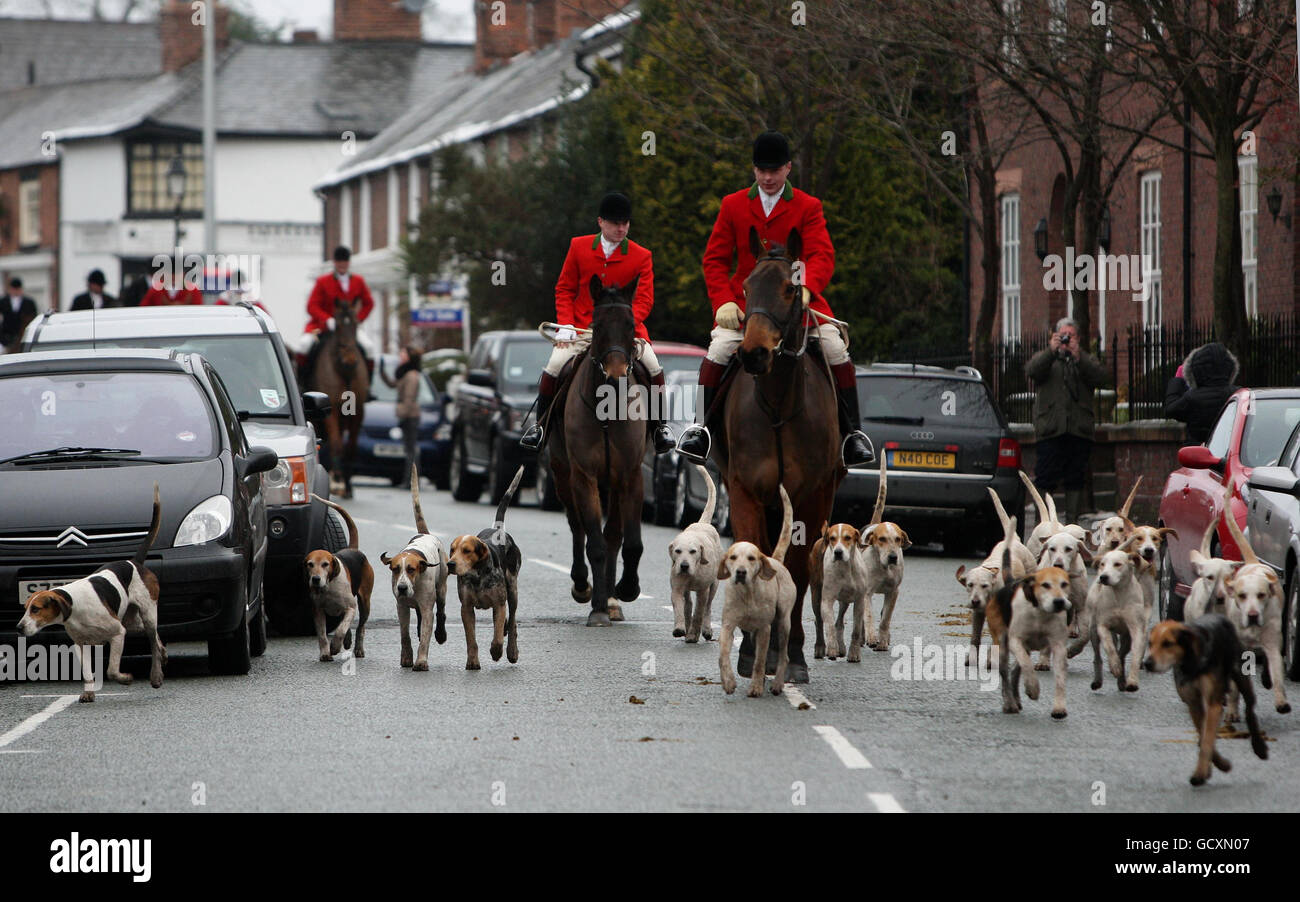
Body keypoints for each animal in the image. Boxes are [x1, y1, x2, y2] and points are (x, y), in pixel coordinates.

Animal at [305, 298, 366, 499]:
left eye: (356, 323)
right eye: (338, 324)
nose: (350, 360)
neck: (343, 370)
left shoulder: (358, 412)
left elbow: (351, 448)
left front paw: (347, 484)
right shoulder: (331, 411)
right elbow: (338, 445)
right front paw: (338, 478)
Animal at [548, 279, 650, 626]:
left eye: (631, 324)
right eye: (598, 325)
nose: (617, 375)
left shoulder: (630, 476)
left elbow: (630, 542)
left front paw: (627, 589)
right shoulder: (584, 476)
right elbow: (593, 541)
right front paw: (597, 606)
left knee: (614, 535)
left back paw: (613, 599)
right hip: (563, 477)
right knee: (577, 527)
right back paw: (585, 587)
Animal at [712, 226, 842, 686]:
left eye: (790, 288)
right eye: (745, 288)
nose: (753, 354)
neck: (779, 403)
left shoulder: (813, 496)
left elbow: (799, 570)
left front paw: (795, 655)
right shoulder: (745, 491)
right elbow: (753, 553)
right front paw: (752, 651)